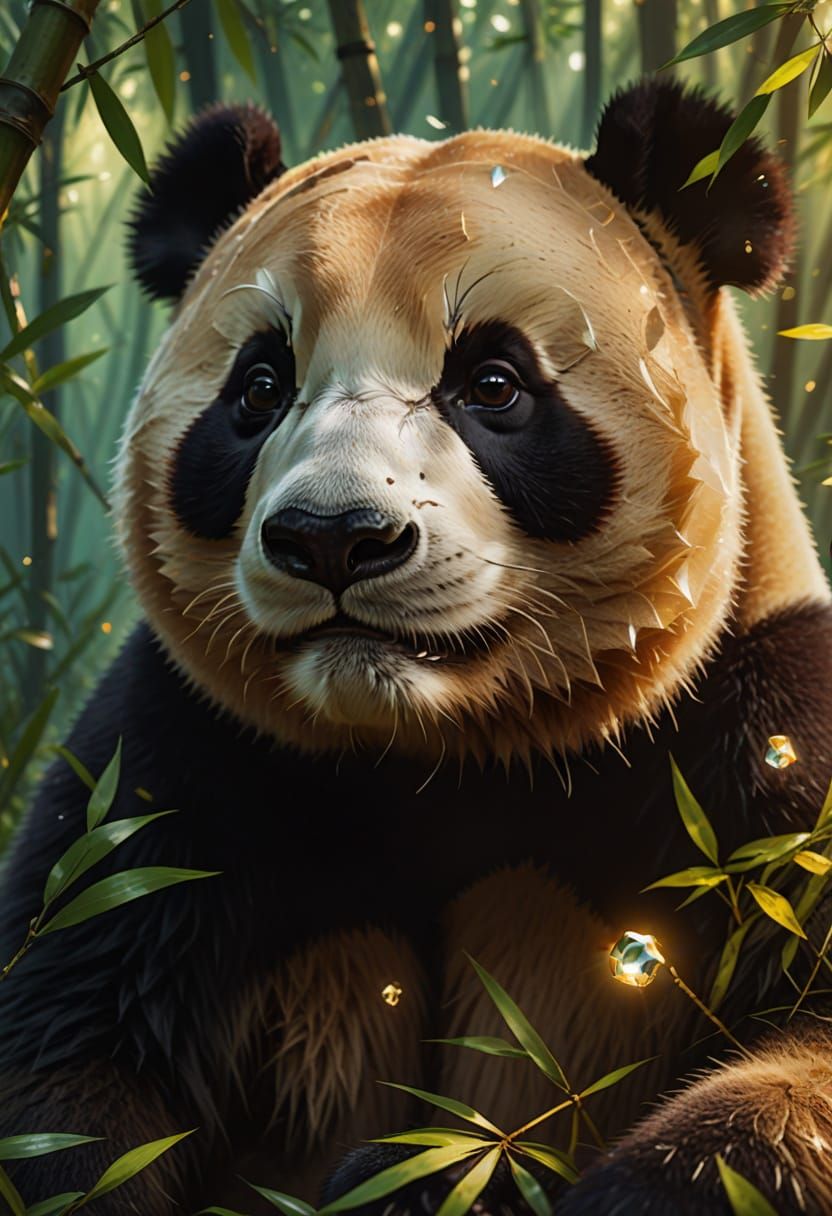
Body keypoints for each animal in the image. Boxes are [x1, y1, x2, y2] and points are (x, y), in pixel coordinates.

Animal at [1, 77, 831, 1215]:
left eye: (492, 382)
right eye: (260, 388)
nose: (334, 537)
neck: (445, 745)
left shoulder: (755, 748)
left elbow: (797, 1060)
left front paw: (484, 1178)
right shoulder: (180, 763)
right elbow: (70, 1047)